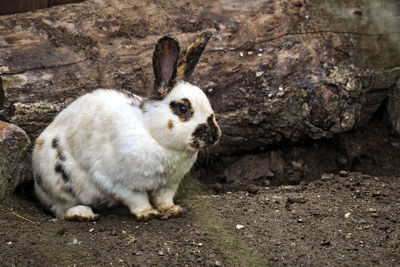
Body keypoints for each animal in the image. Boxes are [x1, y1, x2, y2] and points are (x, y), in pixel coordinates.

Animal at [32, 29, 222, 222]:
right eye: (183, 109)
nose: (215, 135)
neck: (152, 134)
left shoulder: (168, 184)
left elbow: (163, 198)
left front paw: (172, 210)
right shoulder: (119, 183)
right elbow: (137, 199)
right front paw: (148, 213)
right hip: (58, 180)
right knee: (61, 209)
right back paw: (83, 214)